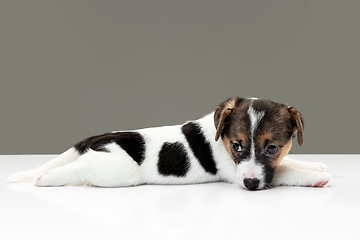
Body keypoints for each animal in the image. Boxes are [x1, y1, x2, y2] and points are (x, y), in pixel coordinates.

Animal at [7, 96, 332, 190]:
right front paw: (316, 177)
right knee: (81, 166)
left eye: (272, 147)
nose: (251, 186)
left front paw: (316, 165)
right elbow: (285, 172)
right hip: (119, 170)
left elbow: (287, 163)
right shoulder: (234, 170)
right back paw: (46, 177)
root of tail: (101, 137)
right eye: (237, 146)